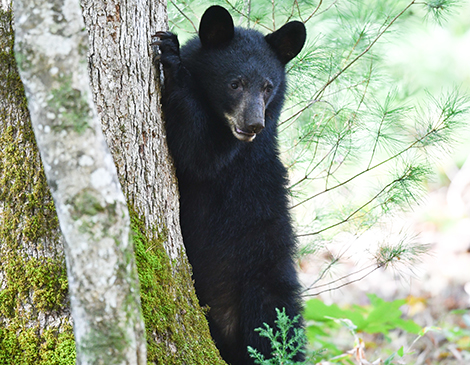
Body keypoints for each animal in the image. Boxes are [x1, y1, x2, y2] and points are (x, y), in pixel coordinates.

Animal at [154, 6, 306, 364]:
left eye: (267, 87)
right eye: (234, 83)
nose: (253, 124)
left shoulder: (228, 157)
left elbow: (198, 153)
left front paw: (171, 55)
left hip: (262, 286)